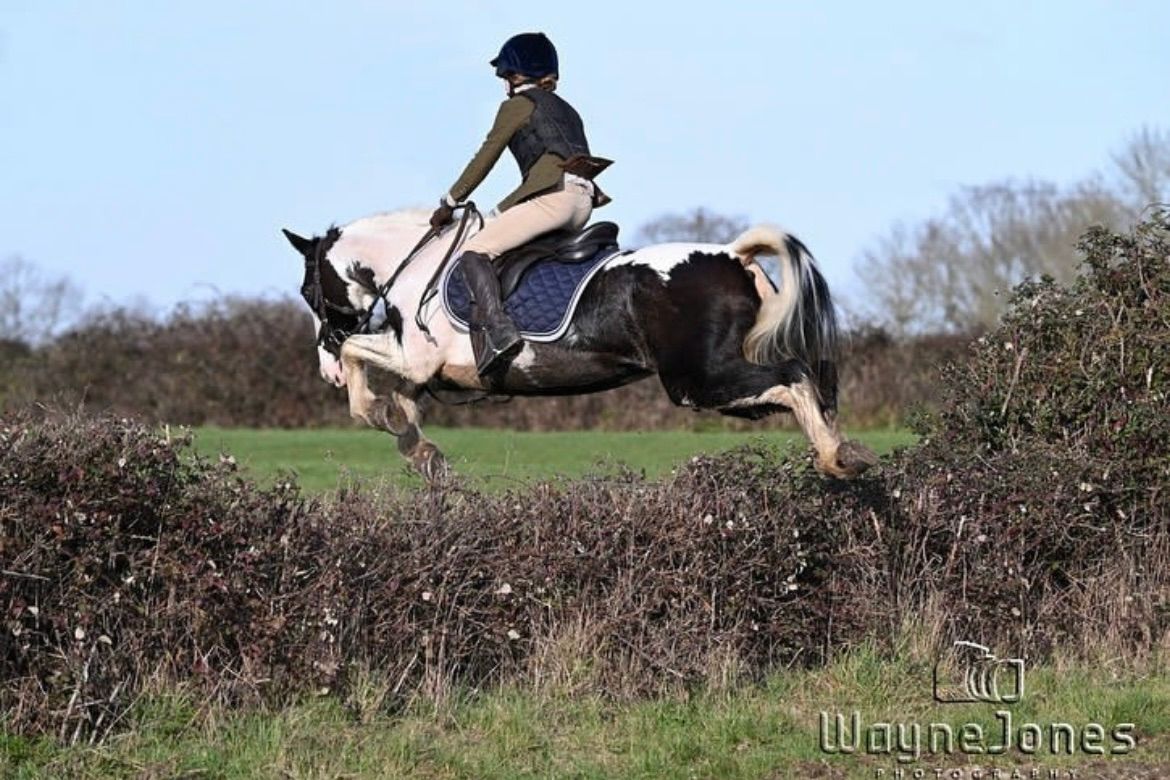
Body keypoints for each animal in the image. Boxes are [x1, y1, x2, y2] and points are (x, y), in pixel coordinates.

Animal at [283, 204, 879, 479]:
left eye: (308, 290)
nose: (322, 370)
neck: (417, 263)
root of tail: (734, 254)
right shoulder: (430, 369)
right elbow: (405, 399)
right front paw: (418, 448)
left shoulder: (417, 356)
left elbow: (362, 357)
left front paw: (371, 411)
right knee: (805, 381)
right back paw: (843, 451)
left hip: (699, 381)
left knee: (793, 379)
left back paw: (837, 458)